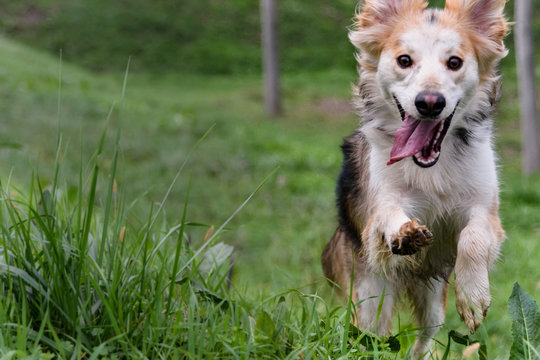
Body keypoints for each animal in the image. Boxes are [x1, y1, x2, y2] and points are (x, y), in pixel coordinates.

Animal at [322, 0, 508, 358]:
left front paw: (474, 295)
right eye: (404, 60)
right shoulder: (380, 203)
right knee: (370, 335)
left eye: (454, 62)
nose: (430, 103)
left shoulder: (485, 211)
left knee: (425, 337)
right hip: (370, 293)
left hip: (433, 300)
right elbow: (389, 214)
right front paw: (404, 232)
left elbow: (473, 238)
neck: (431, 165)